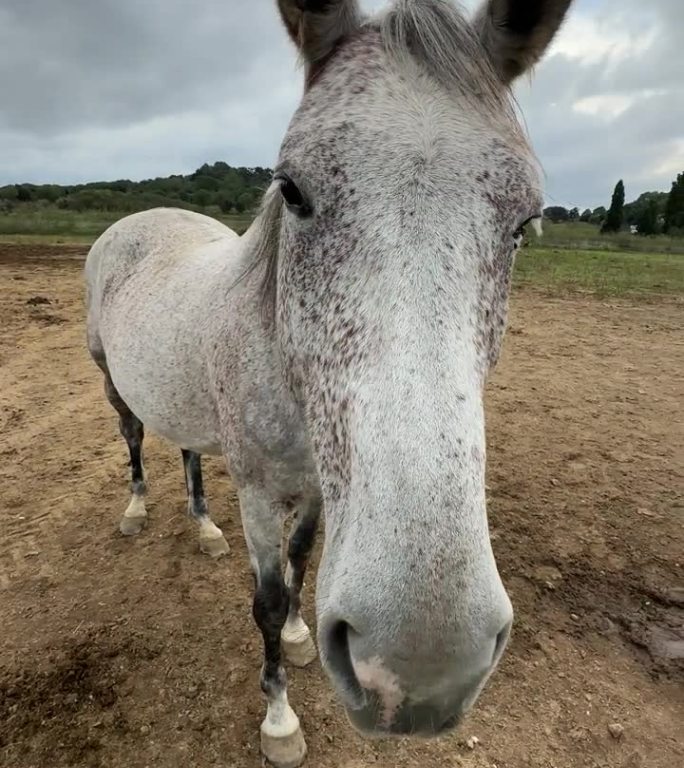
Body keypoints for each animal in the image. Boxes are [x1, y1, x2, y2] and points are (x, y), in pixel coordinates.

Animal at [87, 1, 576, 768]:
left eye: (526, 220)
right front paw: (279, 719)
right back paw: (137, 511)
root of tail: (139, 220)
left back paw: (202, 526)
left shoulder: (320, 487)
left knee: (186, 448)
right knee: (135, 438)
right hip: (112, 379)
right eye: (290, 189)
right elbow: (265, 600)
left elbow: (300, 563)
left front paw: (298, 636)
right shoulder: (259, 492)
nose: (421, 666)